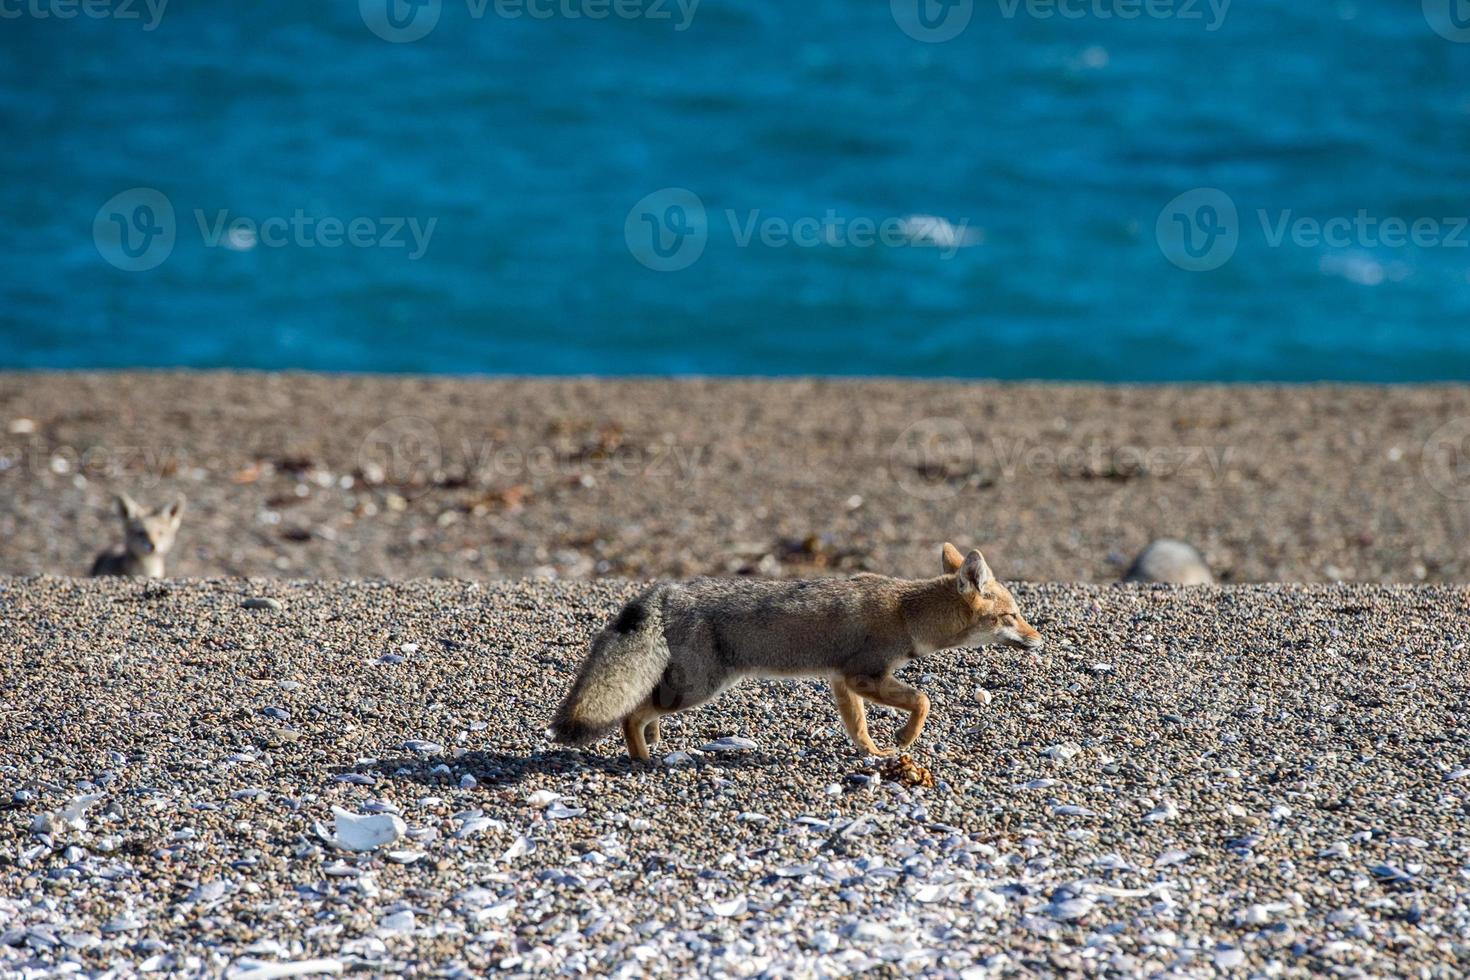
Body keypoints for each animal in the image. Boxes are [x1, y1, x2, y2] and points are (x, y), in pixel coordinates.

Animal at [552, 543, 1046, 758]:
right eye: (1013, 615)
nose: (1040, 638)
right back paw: (643, 759)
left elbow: (858, 727)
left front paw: (872, 752)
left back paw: (654, 743)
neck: (907, 612)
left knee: (643, 708)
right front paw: (903, 740)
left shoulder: (841, 681)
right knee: (631, 714)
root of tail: (664, 591)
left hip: (682, 686)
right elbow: (923, 700)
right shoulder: (863, 675)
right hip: (699, 688)